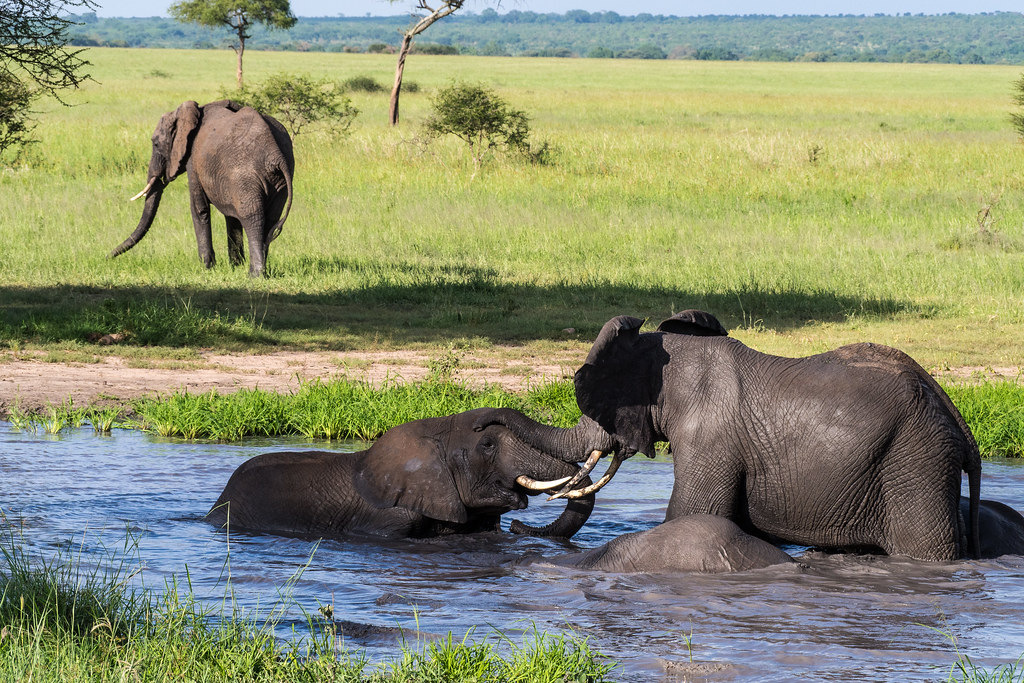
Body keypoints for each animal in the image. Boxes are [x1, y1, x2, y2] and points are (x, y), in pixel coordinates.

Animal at [110, 99, 294, 277]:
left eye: (155, 144)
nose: (108, 256)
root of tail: (274, 153)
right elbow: (231, 217)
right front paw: (235, 266)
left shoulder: (193, 160)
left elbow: (199, 209)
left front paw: (207, 268)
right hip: (278, 181)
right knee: (270, 220)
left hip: (245, 174)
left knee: (252, 217)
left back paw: (255, 275)